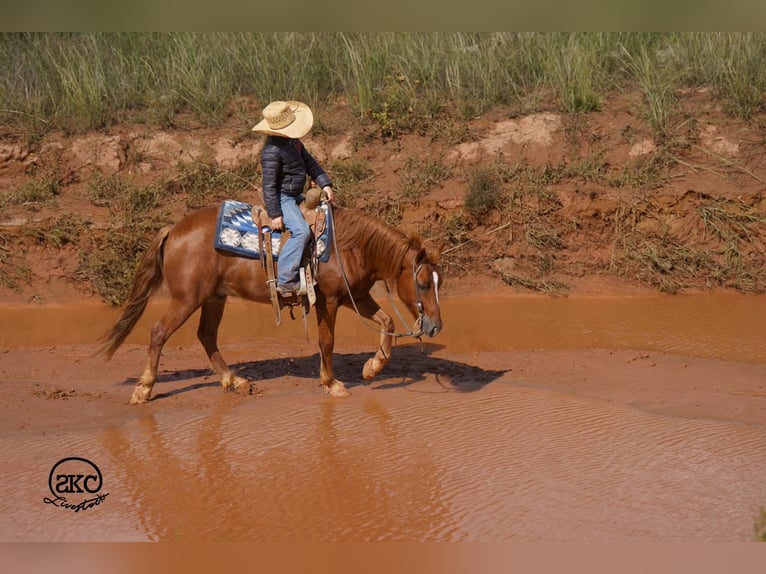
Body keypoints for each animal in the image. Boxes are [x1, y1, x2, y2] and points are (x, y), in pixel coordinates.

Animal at [98, 202, 443, 404]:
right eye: (423, 284)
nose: (436, 326)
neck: (348, 246)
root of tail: (173, 231)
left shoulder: (355, 296)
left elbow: (387, 322)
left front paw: (372, 368)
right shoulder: (329, 301)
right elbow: (327, 341)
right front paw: (331, 383)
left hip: (213, 298)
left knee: (206, 336)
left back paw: (235, 382)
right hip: (187, 299)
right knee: (159, 333)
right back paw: (144, 389)